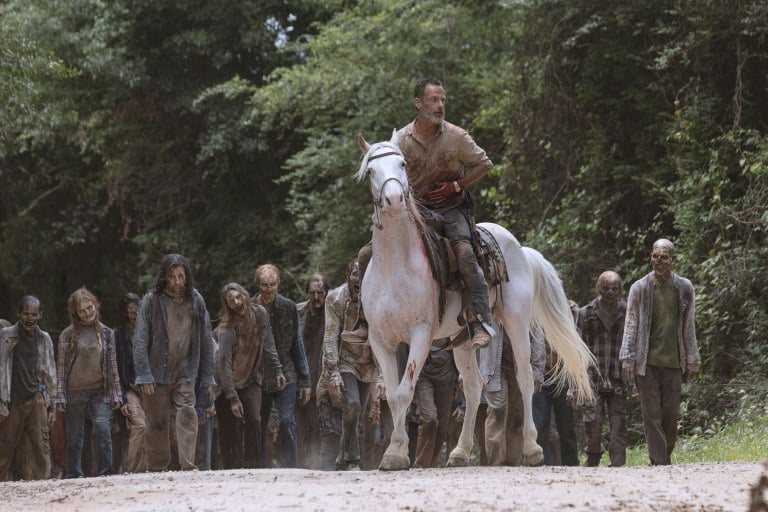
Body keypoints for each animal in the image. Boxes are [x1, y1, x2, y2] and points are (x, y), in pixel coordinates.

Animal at [355, 131, 595, 470]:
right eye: (371, 171)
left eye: (402, 164)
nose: (394, 201)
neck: (395, 265)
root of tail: (521, 249)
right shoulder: (380, 340)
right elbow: (391, 395)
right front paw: (396, 452)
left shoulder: (420, 334)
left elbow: (404, 392)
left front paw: (394, 454)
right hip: (465, 341)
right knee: (472, 387)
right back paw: (459, 452)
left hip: (516, 322)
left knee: (525, 379)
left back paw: (532, 449)